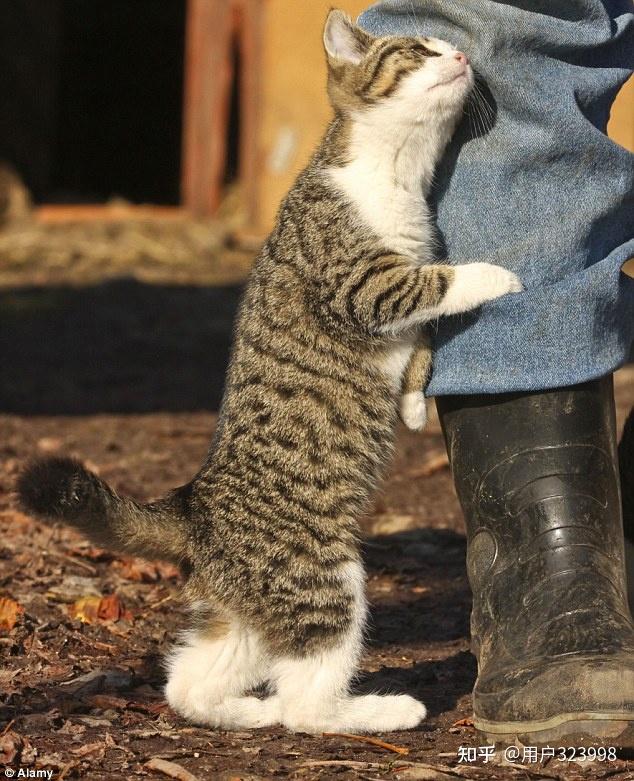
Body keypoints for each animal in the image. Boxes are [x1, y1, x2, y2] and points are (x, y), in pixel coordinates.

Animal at [21, 10, 524, 732]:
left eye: (442, 46)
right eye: (417, 51)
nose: (459, 54)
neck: (395, 175)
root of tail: (196, 507)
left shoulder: (396, 298)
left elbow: (424, 332)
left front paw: (410, 402)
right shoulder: (363, 284)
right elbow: (442, 281)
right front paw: (498, 276)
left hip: (249, 615)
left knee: (190, 684)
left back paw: (245, 712)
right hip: (325, 579)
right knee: (306, 703)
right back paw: (380, 711)